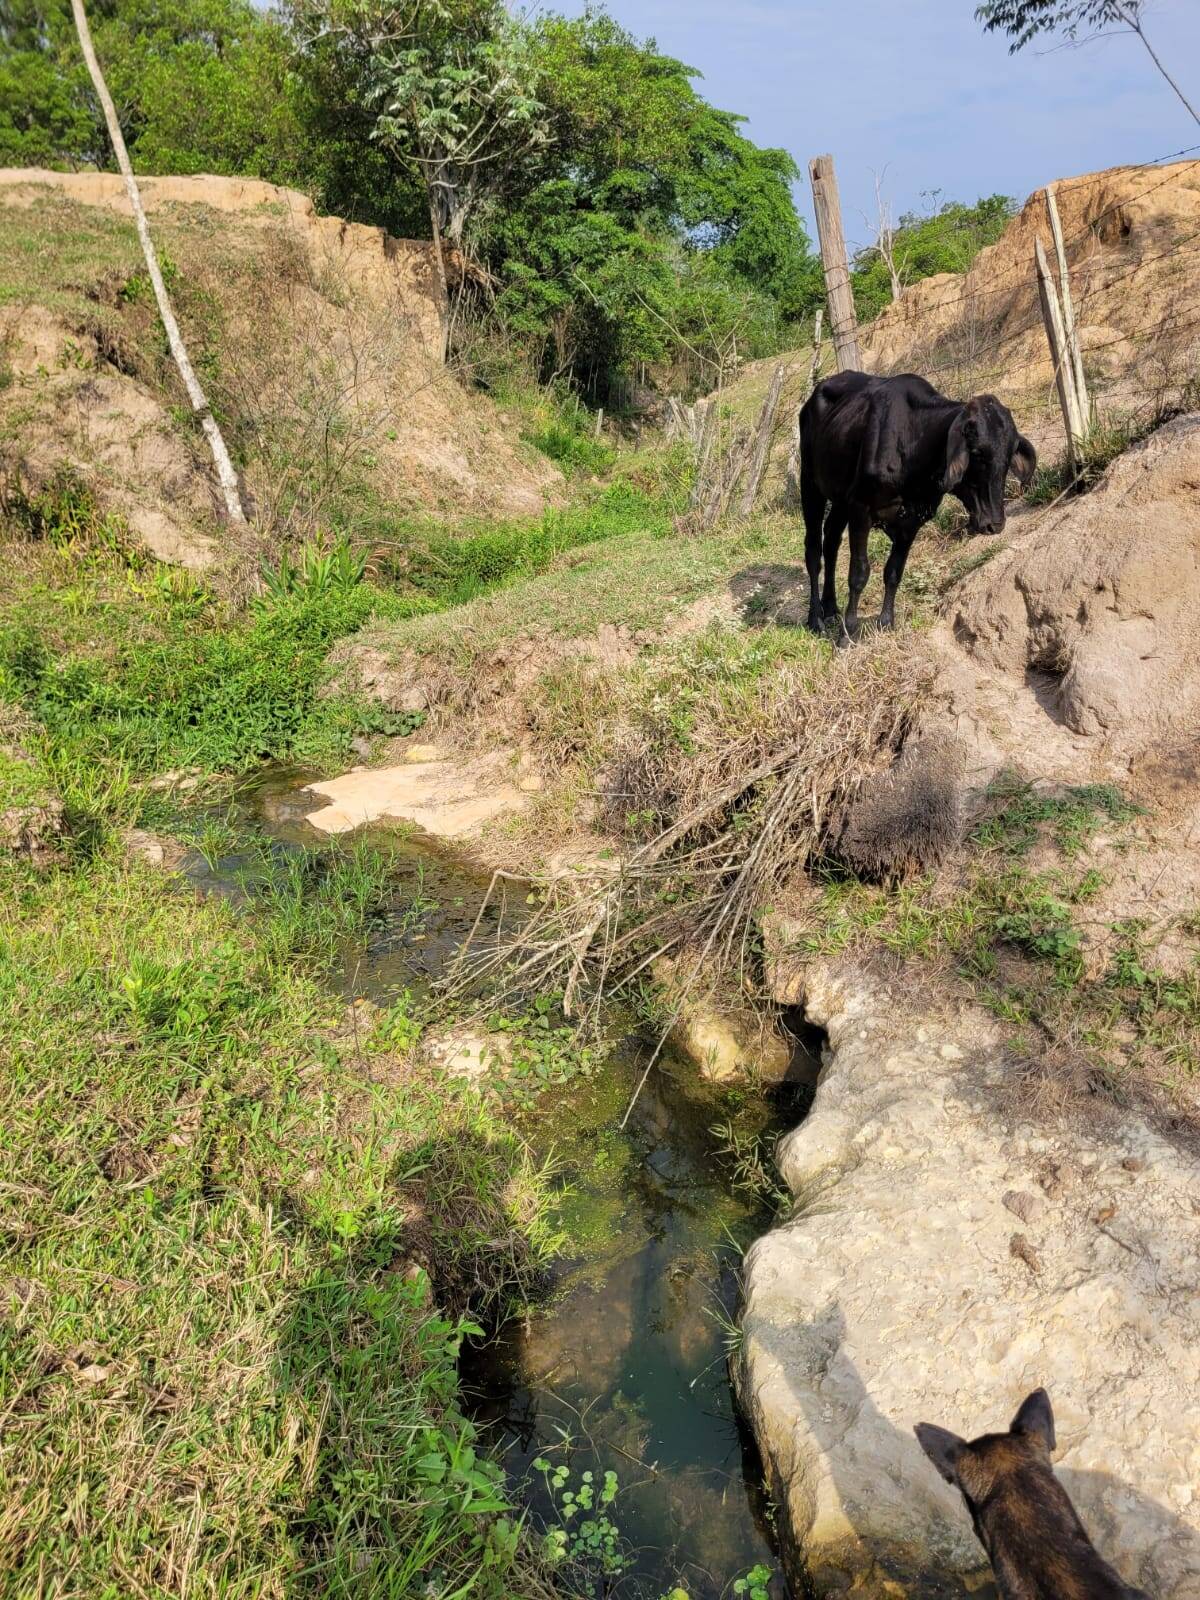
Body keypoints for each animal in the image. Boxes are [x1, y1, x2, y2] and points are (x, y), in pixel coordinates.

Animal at [800, 371, 1036, 633]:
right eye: (976, 453)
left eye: (1010, 454)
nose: (995, 523)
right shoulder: (860, 508)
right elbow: (859, 573)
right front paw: (849, 630)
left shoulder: (912, 520)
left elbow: (893, 571)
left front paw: (886, 622)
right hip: (810, 484)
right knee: (813, 550)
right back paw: (815, 617)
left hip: (840, 500)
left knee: (831, 540)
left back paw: (830, 607)